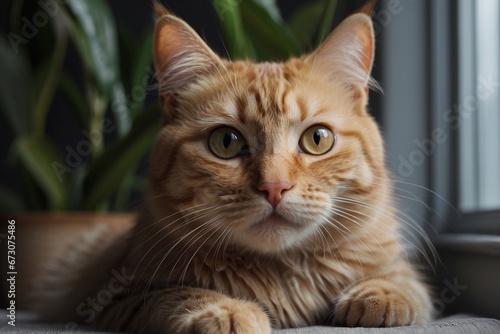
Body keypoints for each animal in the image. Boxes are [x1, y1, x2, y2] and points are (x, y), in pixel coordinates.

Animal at [35, 3, 434, 334]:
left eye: (317, 139)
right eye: (226, 142)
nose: (275, 187)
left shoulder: (402, 270)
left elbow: (406, 283)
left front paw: (380, 294)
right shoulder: (113, 297)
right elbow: (177, 293)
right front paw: (227, 311)